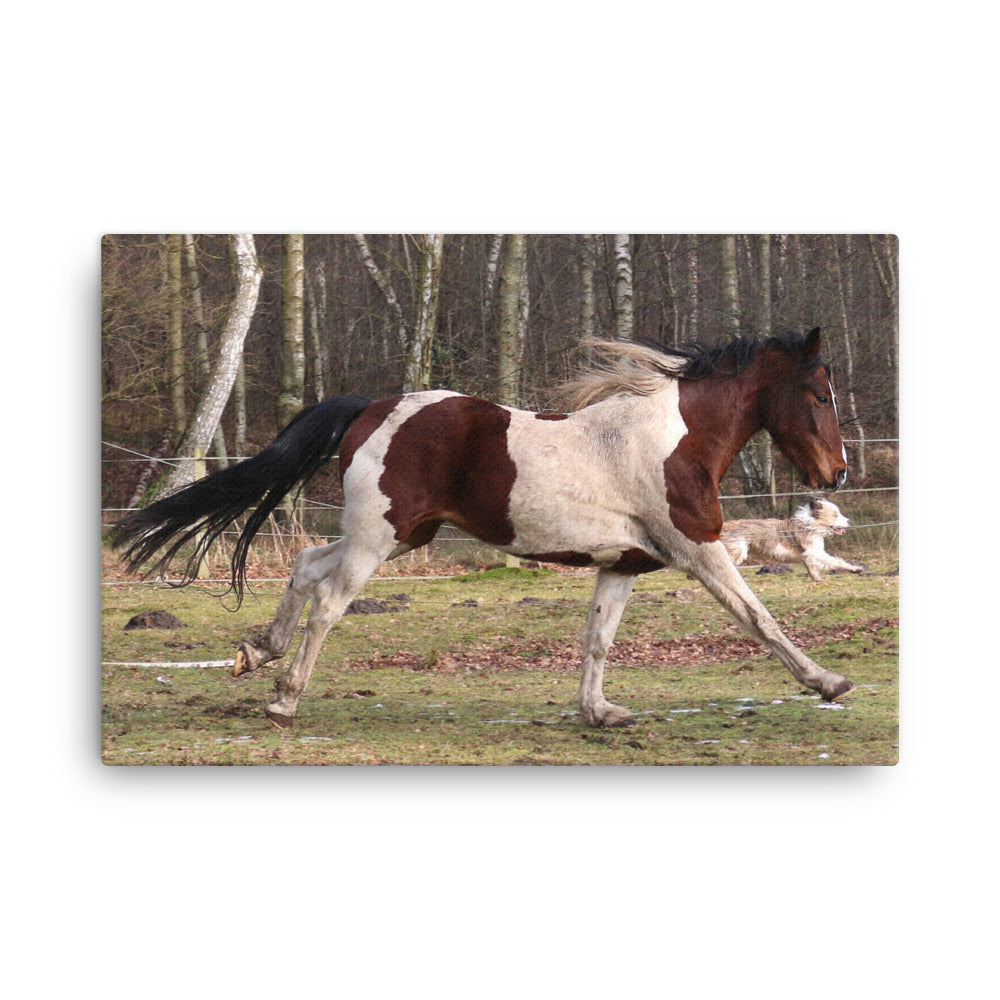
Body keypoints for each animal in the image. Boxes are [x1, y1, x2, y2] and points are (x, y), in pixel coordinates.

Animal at [111, 327, 855, 729]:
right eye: (819, 395)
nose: (838, 473)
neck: (676, 440)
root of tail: (371, 406)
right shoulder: (697, 550)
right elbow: (759, 617)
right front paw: (828, 683)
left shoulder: (623, 563)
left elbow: (597, 641)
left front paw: (599, 713)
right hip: (380, 538)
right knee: (327, 600)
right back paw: (284, 701)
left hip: (400, 535)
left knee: (305, 564)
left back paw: (256, 652)